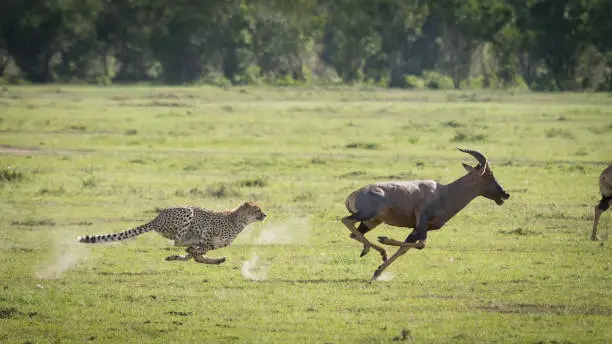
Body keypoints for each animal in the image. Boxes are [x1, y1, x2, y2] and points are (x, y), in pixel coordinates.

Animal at [78, 200, 266, 264]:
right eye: (257, 209)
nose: (265, 214)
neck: (239, 221)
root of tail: (156, 218)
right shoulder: (207, 229)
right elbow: (198, 248)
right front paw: (196, 253)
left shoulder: (215, 245)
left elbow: (197, 254)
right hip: (188, 211)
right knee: (178, 240)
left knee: (184, 245)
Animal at [342, 148, 510, 282]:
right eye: (489, 174)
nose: (505, 194)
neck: (443, 193)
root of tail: (355, 193)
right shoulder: (421, 221)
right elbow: (422, 244)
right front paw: (385, 239)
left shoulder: (419, 228)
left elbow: (405, 249)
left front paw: (377, 273)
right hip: (366, 215)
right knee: (346, 220)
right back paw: (375, 249)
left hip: (372, 221)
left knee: (354, 234)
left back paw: (376, 252)